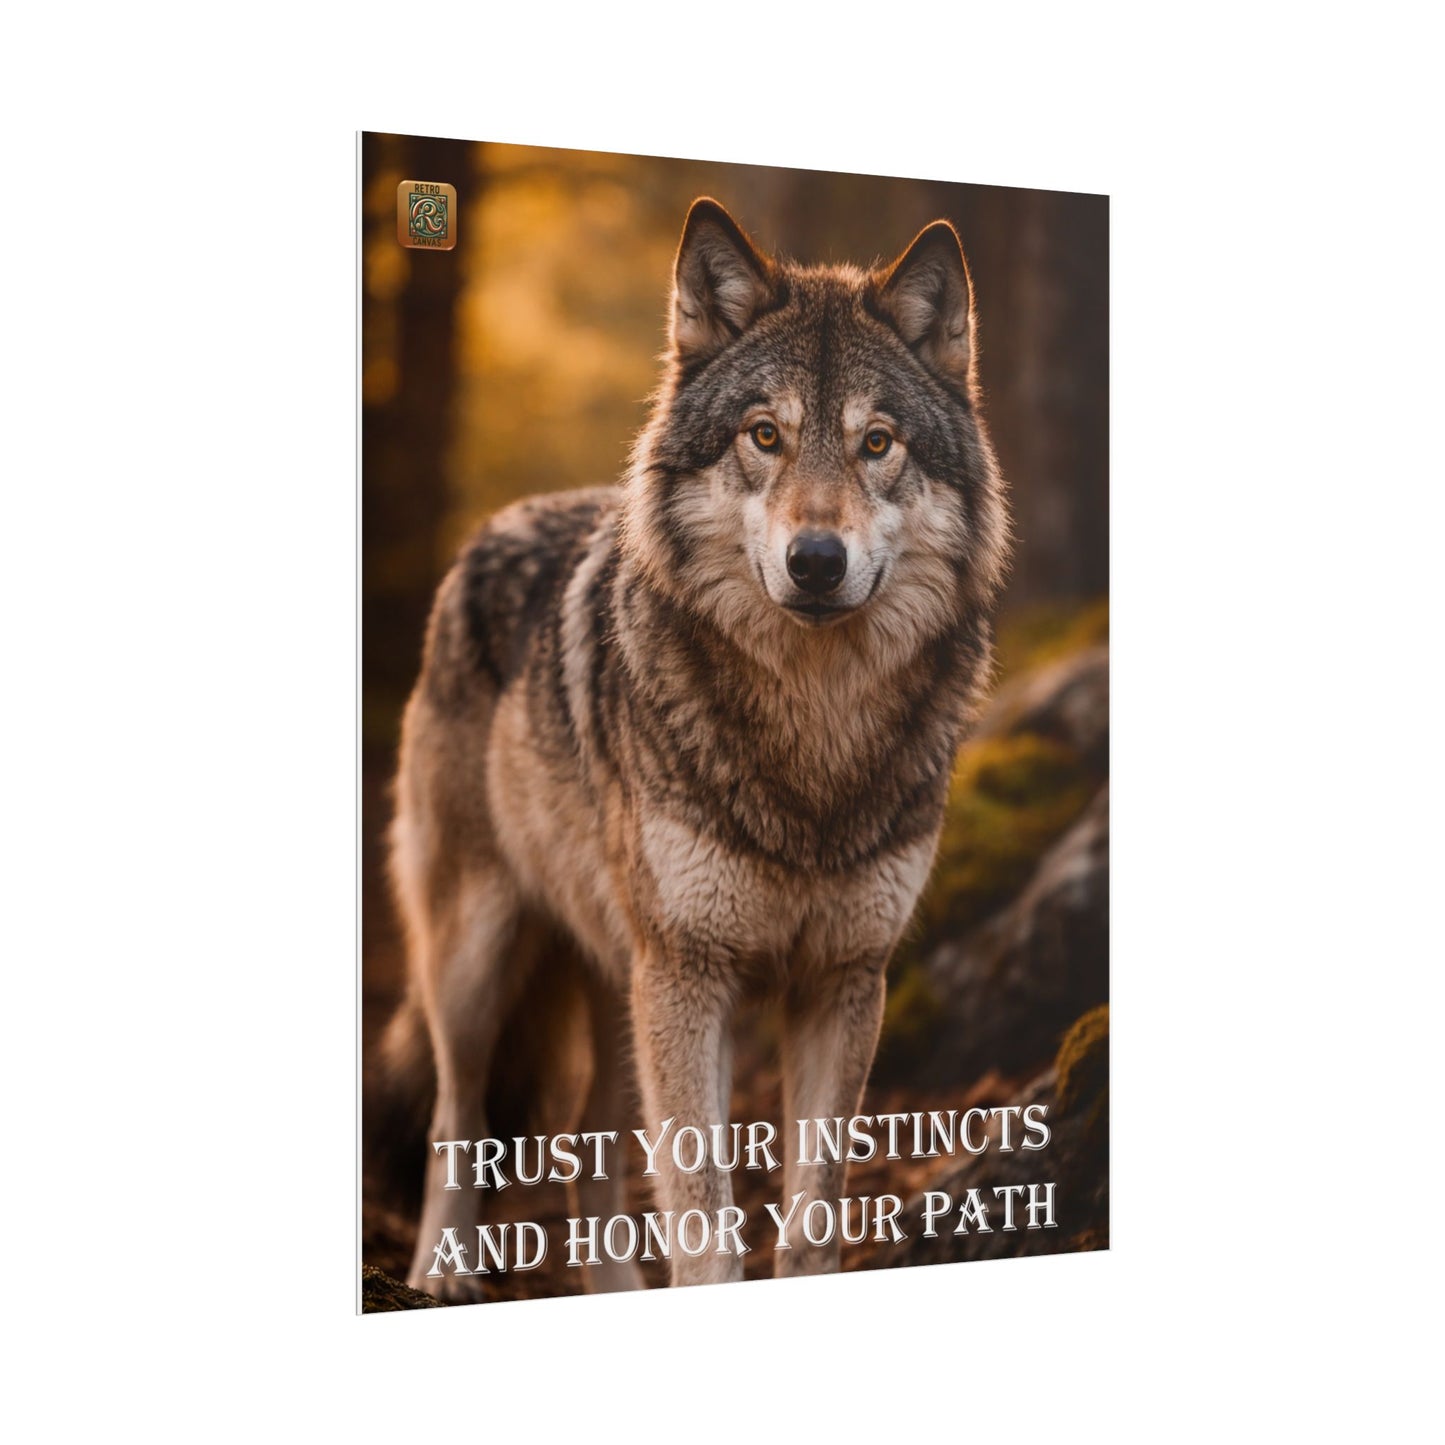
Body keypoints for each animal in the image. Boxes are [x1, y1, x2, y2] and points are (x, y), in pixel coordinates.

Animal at [379, 198, 1009, 1297]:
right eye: (764, 435)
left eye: (876, 442)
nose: (815, 559)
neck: (811, 741)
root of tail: (490, 529)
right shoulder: (690, 973)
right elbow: (705, 1219)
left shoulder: (843, 979)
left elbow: (806, 1222)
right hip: (480, 958)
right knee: (460, 1113)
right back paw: (443, 1273)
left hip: (617, 979)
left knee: (584, 1143)